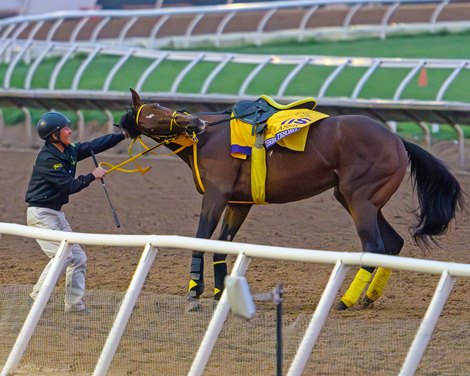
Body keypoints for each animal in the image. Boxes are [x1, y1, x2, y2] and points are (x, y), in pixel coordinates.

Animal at [120, 89, 462, 312]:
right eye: (151, 113)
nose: (195, 123)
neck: (209, 139)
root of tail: (397, 139)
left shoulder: (216, 196)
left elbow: (202, 238)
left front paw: (194, 292)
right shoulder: (238, 203)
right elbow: (221, 245)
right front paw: (219, 293)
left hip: (360, 198)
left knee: (375, 246)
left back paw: (345, 301)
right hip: (355, 197)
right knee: (392, 244)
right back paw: (368, 298)